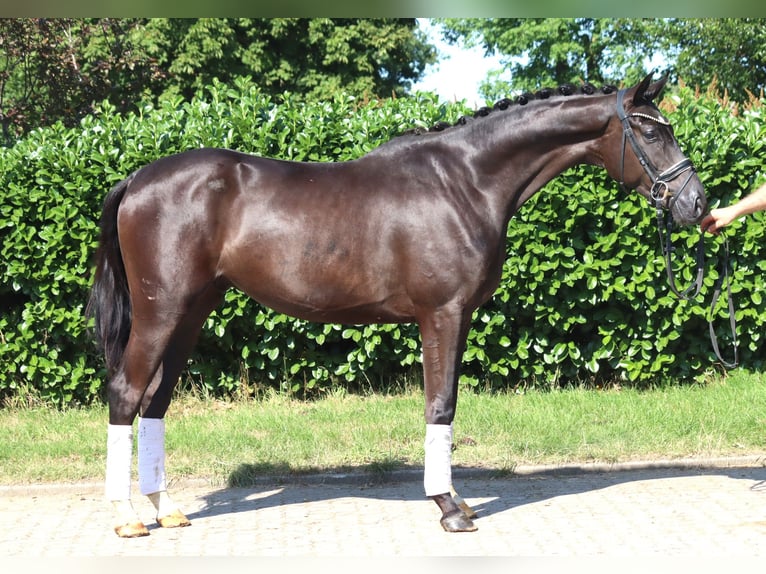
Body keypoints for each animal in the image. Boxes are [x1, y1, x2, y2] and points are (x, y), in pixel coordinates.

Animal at [86, 73, 707, 538]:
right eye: (651, 132)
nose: (696, 204)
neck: (465, 182)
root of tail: (137, 179)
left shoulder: (456, 316)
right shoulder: (443, 314)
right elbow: (441, 405)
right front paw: (450, 508)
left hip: (192, 313)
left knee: (155, 402)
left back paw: (165, 509)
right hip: (162, 312)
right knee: (126, 393)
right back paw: (126, 517)